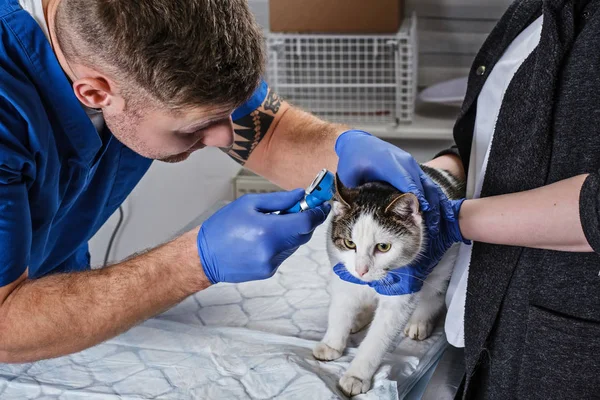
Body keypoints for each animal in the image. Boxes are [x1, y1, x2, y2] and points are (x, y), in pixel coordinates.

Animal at [312, 166, 466, 396]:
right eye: (350, 243)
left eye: (383, 247)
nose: (362, 270)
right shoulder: (343, 277)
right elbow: (340, 312)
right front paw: (332, 343)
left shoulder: (400, 296)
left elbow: (378, 338)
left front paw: (357, 376)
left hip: (445, 265)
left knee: (434, 294)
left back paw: (420, 322)